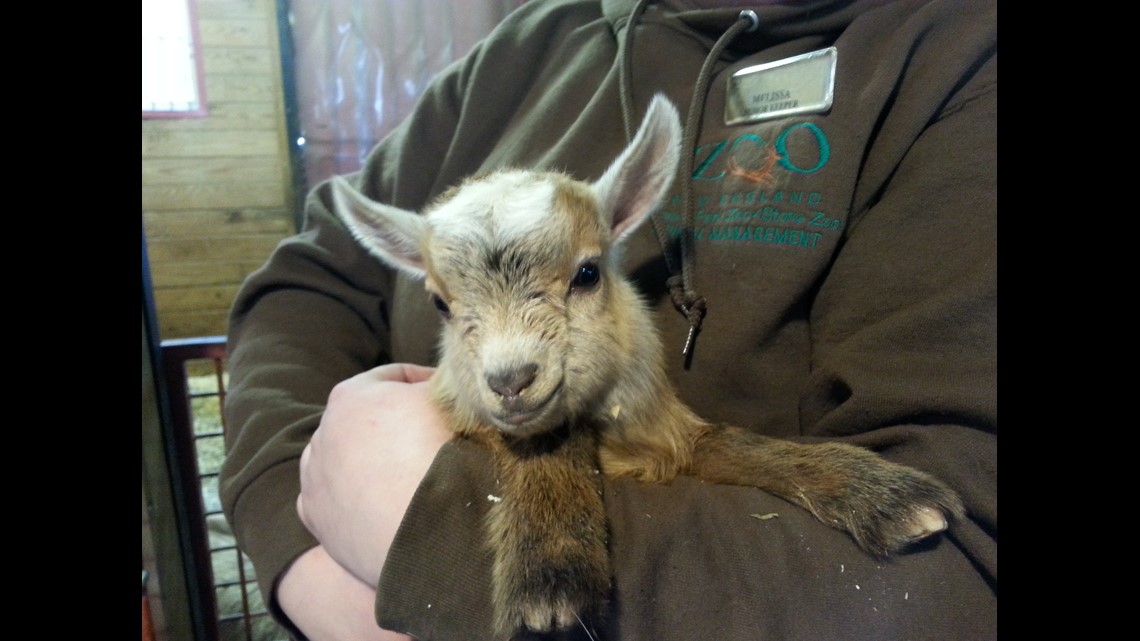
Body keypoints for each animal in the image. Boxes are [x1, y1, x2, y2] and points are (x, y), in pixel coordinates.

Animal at [330, 95, 962, 638]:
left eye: (588, 273)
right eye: (441, 303)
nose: (511, 381)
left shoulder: (664, 426)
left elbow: (728, 442)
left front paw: (882, 494)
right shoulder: (472, 413)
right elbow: (546, 447)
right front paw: (550, 575)